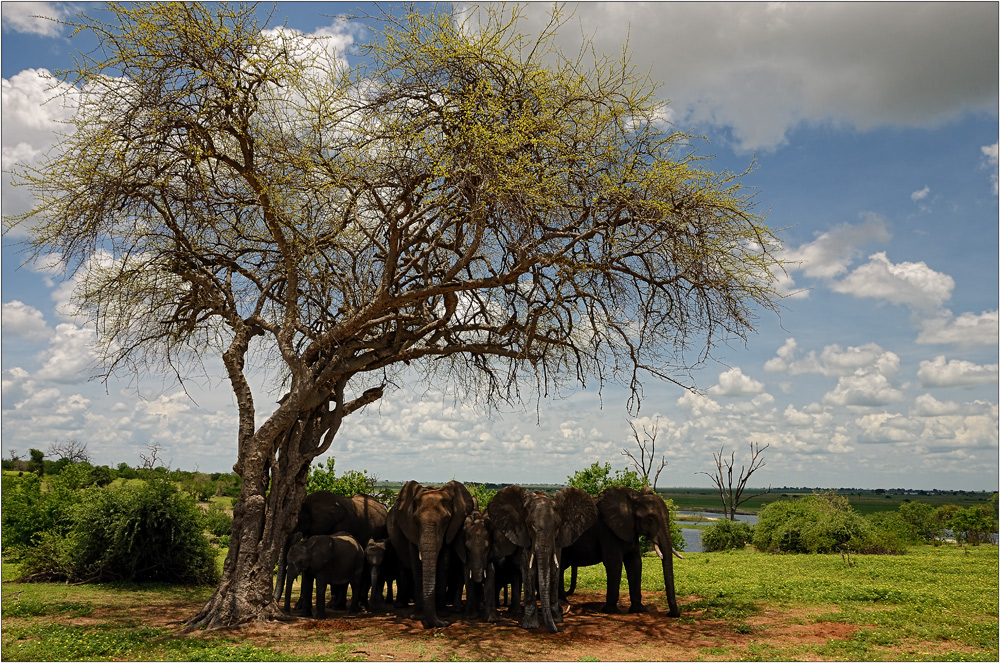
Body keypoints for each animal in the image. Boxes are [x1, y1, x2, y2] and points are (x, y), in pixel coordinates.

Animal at [384, 482, 474, 628]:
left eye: (446, 520)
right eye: (415, 520)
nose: (446, 623)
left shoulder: (449, 530)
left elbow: (444, 562)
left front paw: (443, 614)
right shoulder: (411, 529)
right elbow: (416, 564)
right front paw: (418, 616)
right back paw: (402, 605)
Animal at [488, 488, 596, 632]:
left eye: (557, 526)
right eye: (532, 526)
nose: (559, 630)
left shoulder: (558, 539)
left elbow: (554, 570)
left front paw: (557, 619)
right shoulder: (525, 535)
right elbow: (529, 569)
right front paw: (529, 625)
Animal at [560, 482, 684, 616]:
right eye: (650, 519)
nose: (670, 614)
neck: (634, 499)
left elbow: (635, 563)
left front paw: (639, 610)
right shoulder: (608, 530)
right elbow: (614, 564)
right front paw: (611, 611)